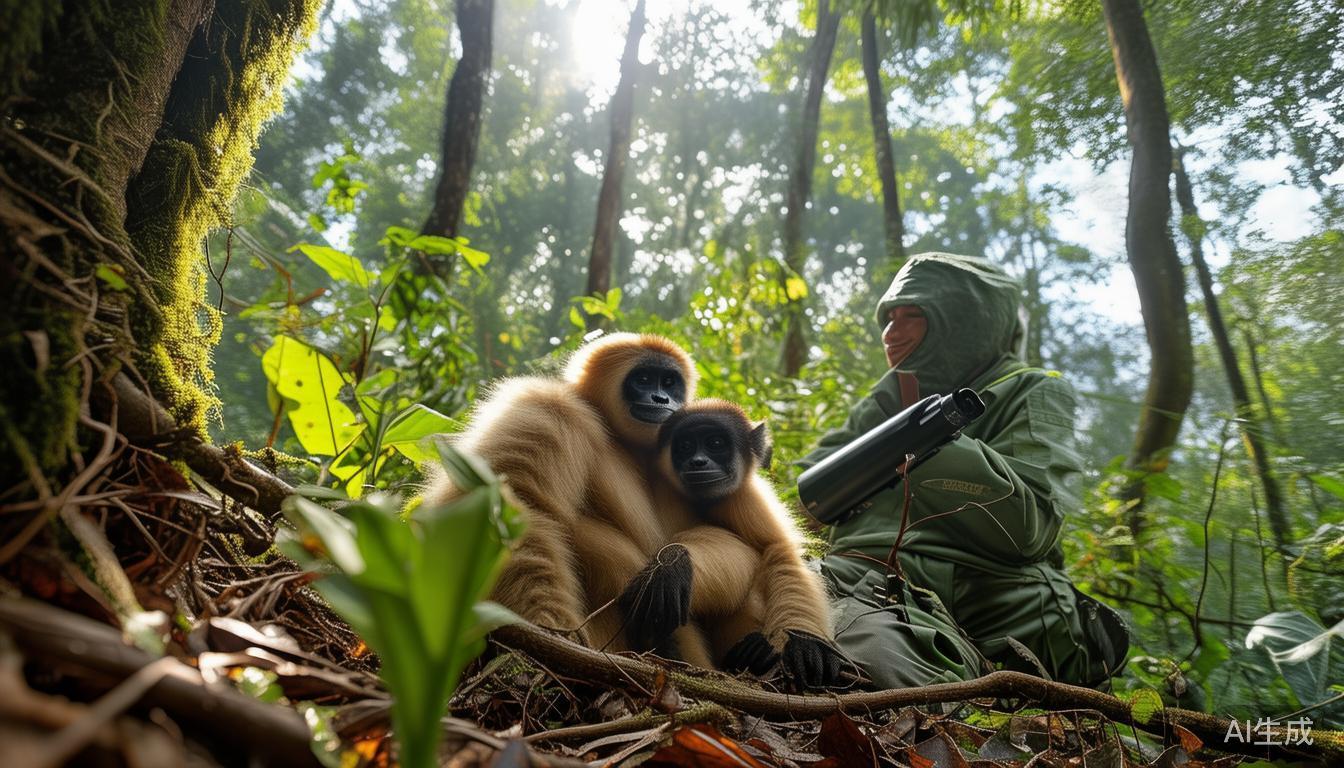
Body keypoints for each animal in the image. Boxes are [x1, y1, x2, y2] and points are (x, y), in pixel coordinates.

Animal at [620, 398, 845, 687]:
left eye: (715, 443)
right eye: (685, 446)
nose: (698, 461)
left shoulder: (746, 498)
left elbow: (780, 551)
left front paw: (805, 642)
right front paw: (670, 566)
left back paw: (753, 653)